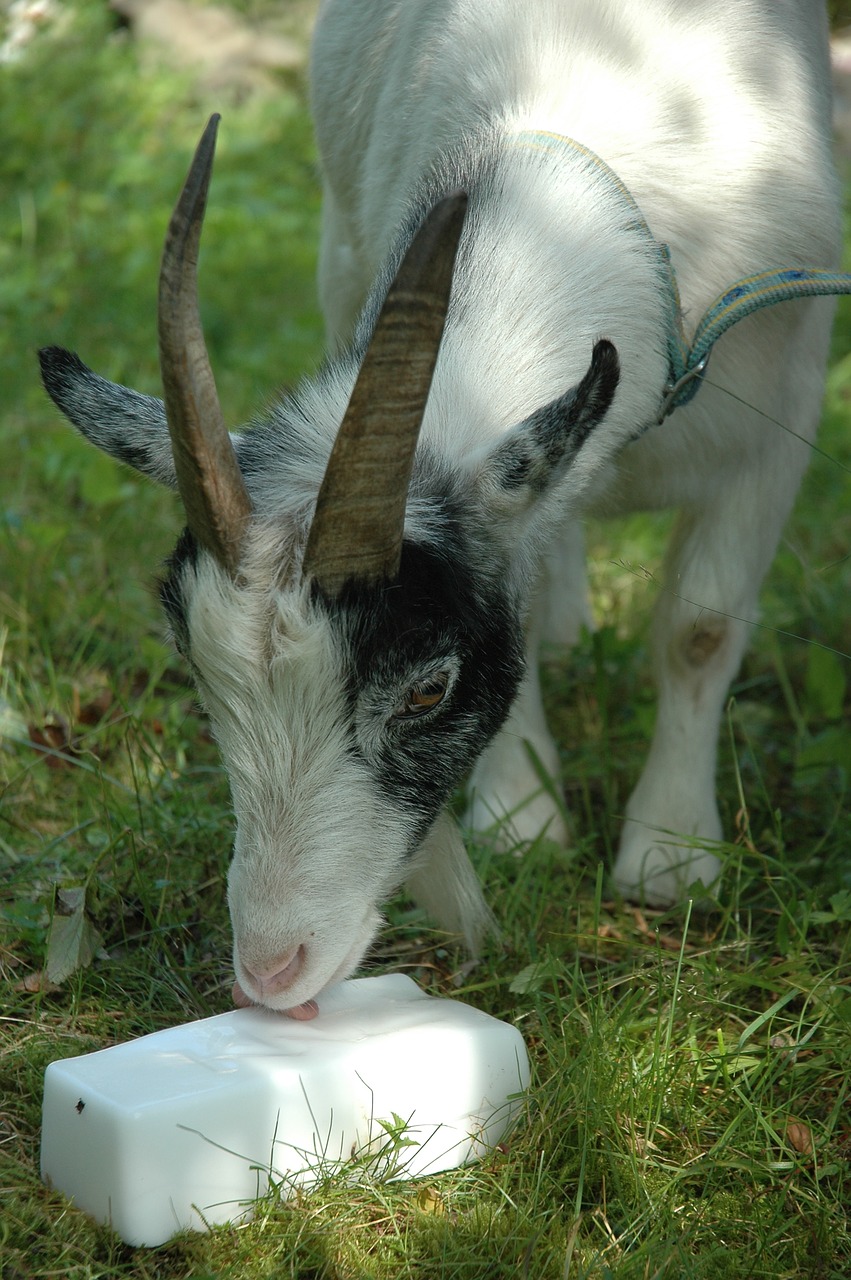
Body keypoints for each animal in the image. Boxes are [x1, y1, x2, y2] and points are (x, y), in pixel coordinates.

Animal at [38, 2, 834, 1018]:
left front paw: (669, 856)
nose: (270, 970)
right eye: (199, 670)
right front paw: (522, 818)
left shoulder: (778, 419)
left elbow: (699, 631)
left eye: (428, 688)